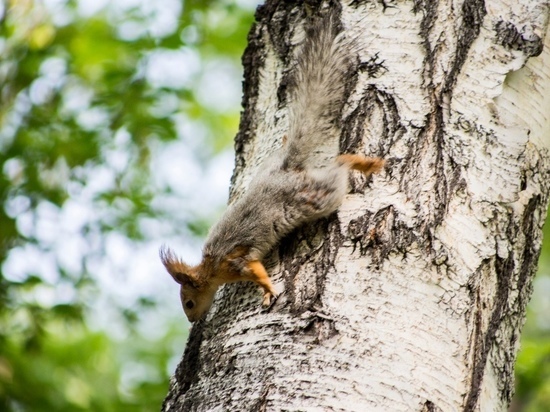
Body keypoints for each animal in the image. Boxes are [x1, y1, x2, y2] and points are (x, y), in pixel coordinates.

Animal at [160, 12, 384, 322]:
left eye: (189, 302)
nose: (193, 320)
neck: (212, 268)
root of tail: (284, 172)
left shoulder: (238, 263)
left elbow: (258, 273)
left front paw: (267, 292)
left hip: (314, 197)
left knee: (340, 165)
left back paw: (365, 163)